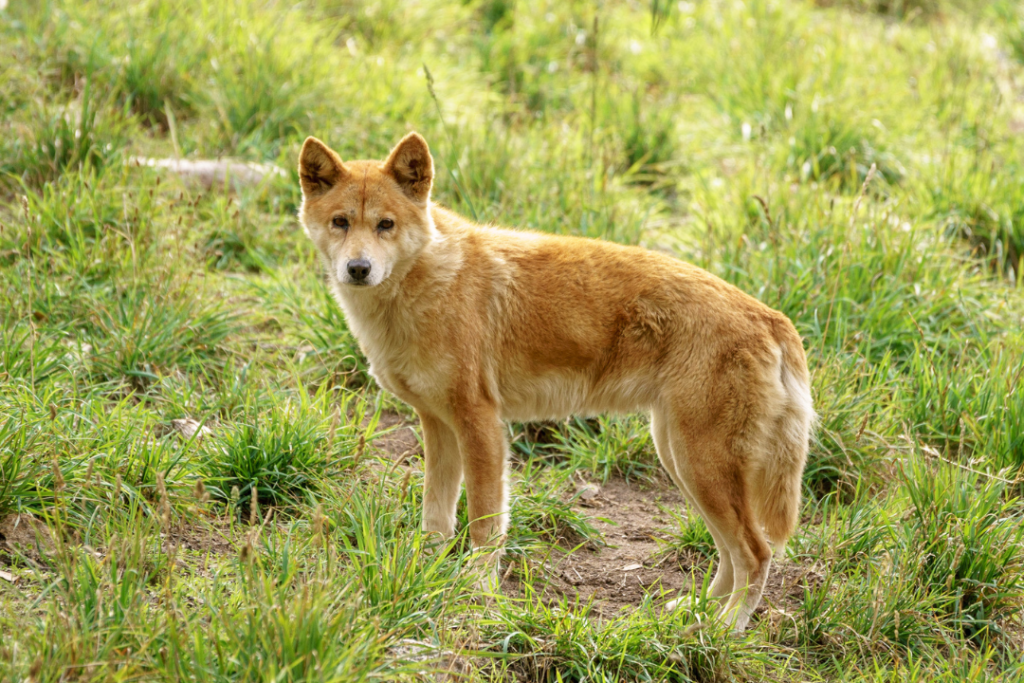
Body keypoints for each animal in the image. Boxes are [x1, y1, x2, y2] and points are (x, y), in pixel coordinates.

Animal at [299, 132, 815, 630]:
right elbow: (436, 521)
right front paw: (424, 576)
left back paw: (726, 632)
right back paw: (697, 617)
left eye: (385, 225)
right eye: (341, 222)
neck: (429, 282)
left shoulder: (480, 424)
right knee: (731, 553)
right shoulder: (438, 425)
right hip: (682, 459)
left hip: (699, 464)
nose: (358, 269)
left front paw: (476, 591)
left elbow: (484, 524)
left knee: (755, 552)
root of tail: (771, 317)